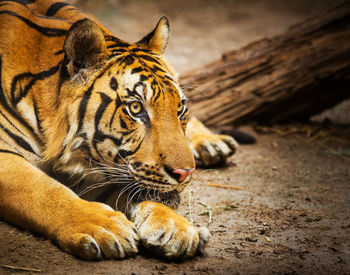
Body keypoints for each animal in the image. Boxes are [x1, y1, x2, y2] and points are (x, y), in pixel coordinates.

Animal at [0, 0, 238, 260]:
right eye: (135, 108)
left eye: (179, 107)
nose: (185, 173)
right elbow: (46, 191)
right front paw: (104, 227)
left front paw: (178, 227)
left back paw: (211, 143)